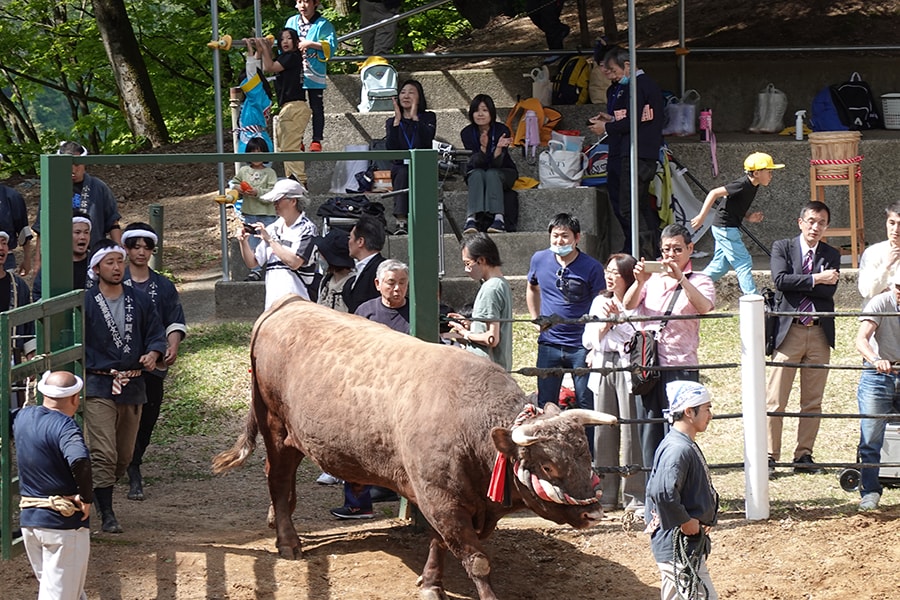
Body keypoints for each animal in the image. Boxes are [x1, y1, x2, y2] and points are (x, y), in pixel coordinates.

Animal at [214, 296, 616, 600]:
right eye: (548, 467)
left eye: (586, 454)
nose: (594, 513)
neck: (470, 424)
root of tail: (288, 304)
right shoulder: (441, 500)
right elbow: (477, 561)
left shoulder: (448, 500)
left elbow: (440, 545)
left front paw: (430, 582)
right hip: (275, 427)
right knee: (278, 479)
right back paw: (288, 541)